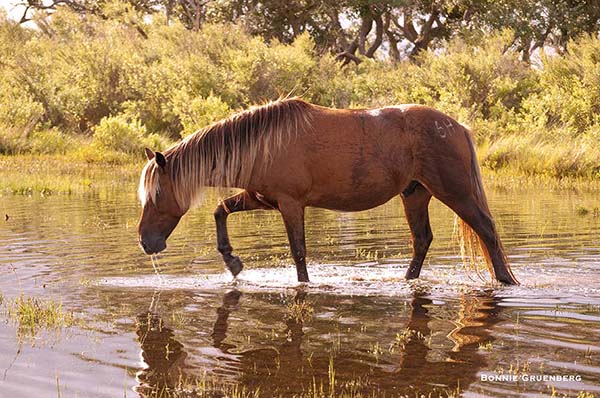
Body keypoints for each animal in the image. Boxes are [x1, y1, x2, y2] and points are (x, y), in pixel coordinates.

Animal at [138, 97, 516, 284]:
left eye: (156, 196)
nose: (146, 242)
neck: (262, 144)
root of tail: (457, 126)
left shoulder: (290, 204)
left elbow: (299, 252)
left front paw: (303, 285)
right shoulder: (262, 199)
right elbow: (221, 210)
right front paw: (232, 262)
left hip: (456, 193)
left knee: (486, 230)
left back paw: (505, 281)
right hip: (415, 194)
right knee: (422, 240)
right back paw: (407, 280)